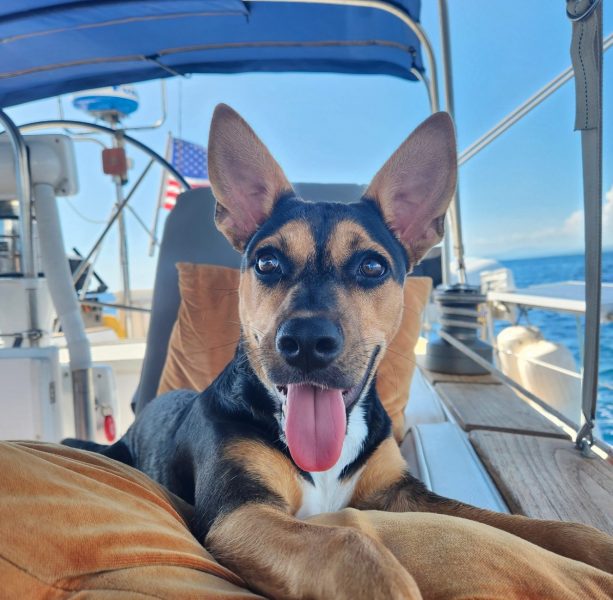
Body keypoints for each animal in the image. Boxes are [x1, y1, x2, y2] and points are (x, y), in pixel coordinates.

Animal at [65, 105, 612, 596]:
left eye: (372, 266)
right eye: (267, 262)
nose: (306, 343)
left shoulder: (399, 492)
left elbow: (534, 526)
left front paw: (594, 544)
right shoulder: (240, 513)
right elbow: (353, 548)